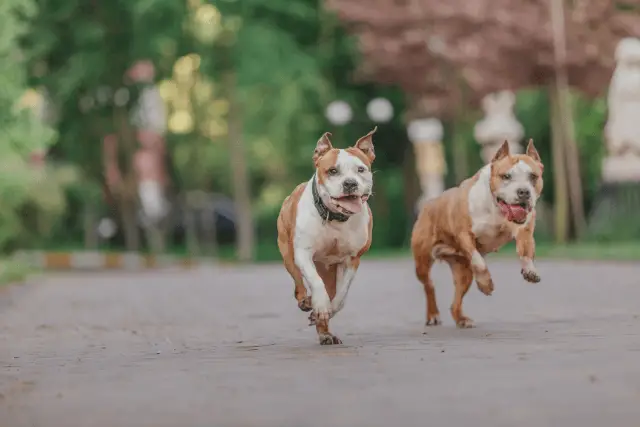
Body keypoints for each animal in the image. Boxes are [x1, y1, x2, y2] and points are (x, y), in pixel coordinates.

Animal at [276, 129, 376, 346]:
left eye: (360, 170)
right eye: (332, 171)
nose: (350, 183)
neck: (335, 218)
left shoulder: (352, 259)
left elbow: (341, 295)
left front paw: (326, 310)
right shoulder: (303, 253)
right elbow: (315, 281)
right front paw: (320, 305)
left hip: (329, 269)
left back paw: (325, 333)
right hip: (288, 254)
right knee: (299, 283)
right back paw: (306, 301)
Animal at [412, 140, 544, 332]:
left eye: (533, 176)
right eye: (506, 176)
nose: (524, 192)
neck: (496, 207)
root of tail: (428, 204)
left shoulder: (524, 231)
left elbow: (526, 251)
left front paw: (530, 270)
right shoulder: (464, 234)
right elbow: (479, 261)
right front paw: (485, 284)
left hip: (463, 272)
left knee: (456, 301)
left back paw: (461, 319)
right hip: (422, 261)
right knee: (429, 284)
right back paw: (433, 315)